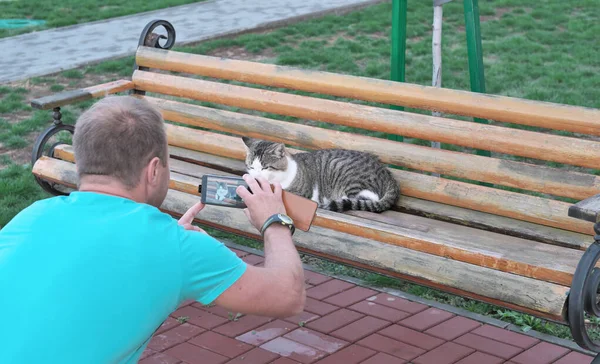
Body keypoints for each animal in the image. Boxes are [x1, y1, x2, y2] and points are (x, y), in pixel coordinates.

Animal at [241, 139, 400, 213]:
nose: (256, 176)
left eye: (265, 167)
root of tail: (388, 175)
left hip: (342, 170)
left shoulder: (301, 192)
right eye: (251, 167)